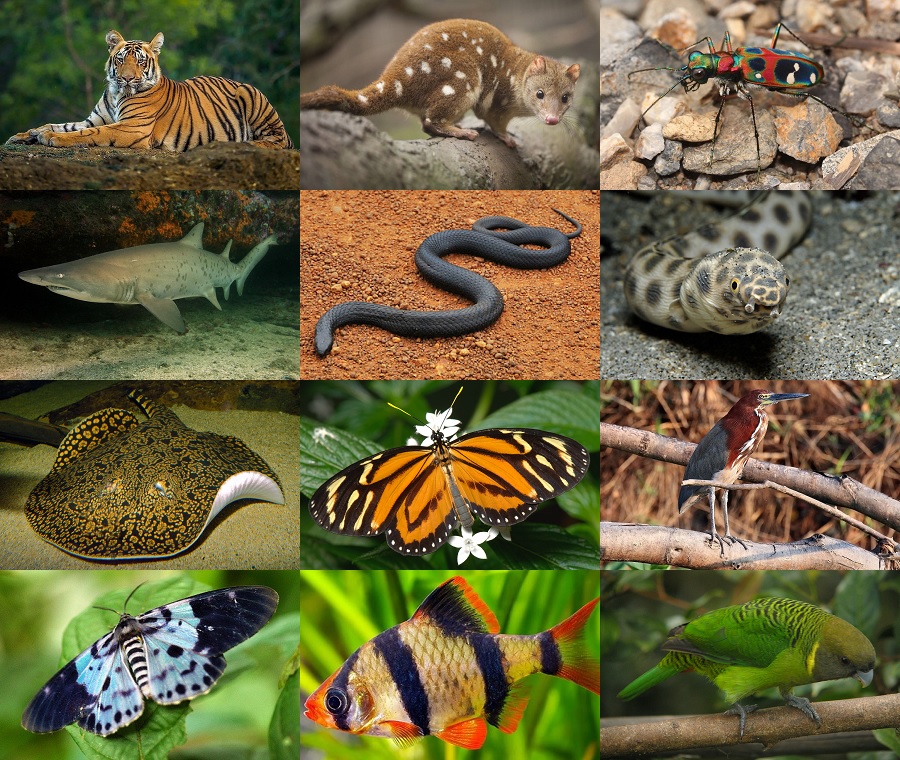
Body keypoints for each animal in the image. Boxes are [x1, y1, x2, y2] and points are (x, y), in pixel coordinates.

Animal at [6, 30, 293, 150]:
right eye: (121, 59)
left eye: (141, 61)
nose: (127, 79)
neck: (116, 93)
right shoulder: (95, 118)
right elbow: (61, 124)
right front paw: (26, 134)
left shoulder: (132, 127)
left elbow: (88, 133)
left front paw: (51, 138)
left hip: (252, 97)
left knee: (277, 141)